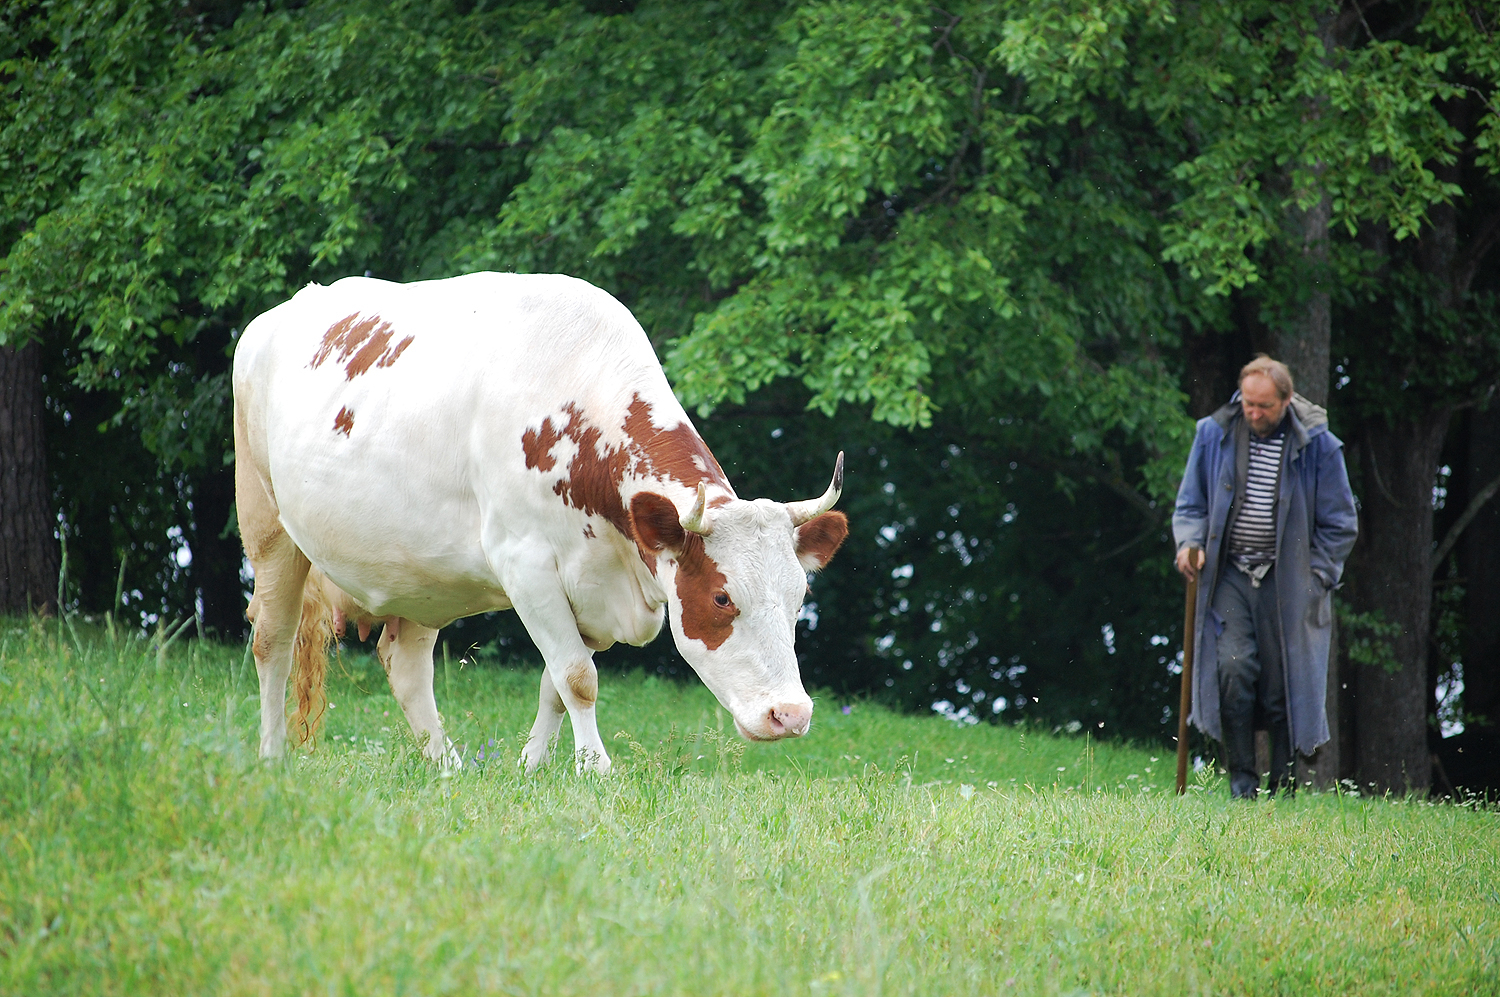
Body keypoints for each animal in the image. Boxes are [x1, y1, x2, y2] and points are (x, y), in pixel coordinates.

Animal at [231, 269, 846, 767]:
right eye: (721, 597)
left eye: (799, 598)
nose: (791, 715)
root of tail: (276, 316)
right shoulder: (524, 564)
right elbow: (578, 677)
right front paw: (595, 768)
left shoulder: (591, 585)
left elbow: (557, 680)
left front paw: (532, 766)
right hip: (268, 526)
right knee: (273, 641)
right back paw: (273, 756)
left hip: (419, 572)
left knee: (404, 666)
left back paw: (449, 768)